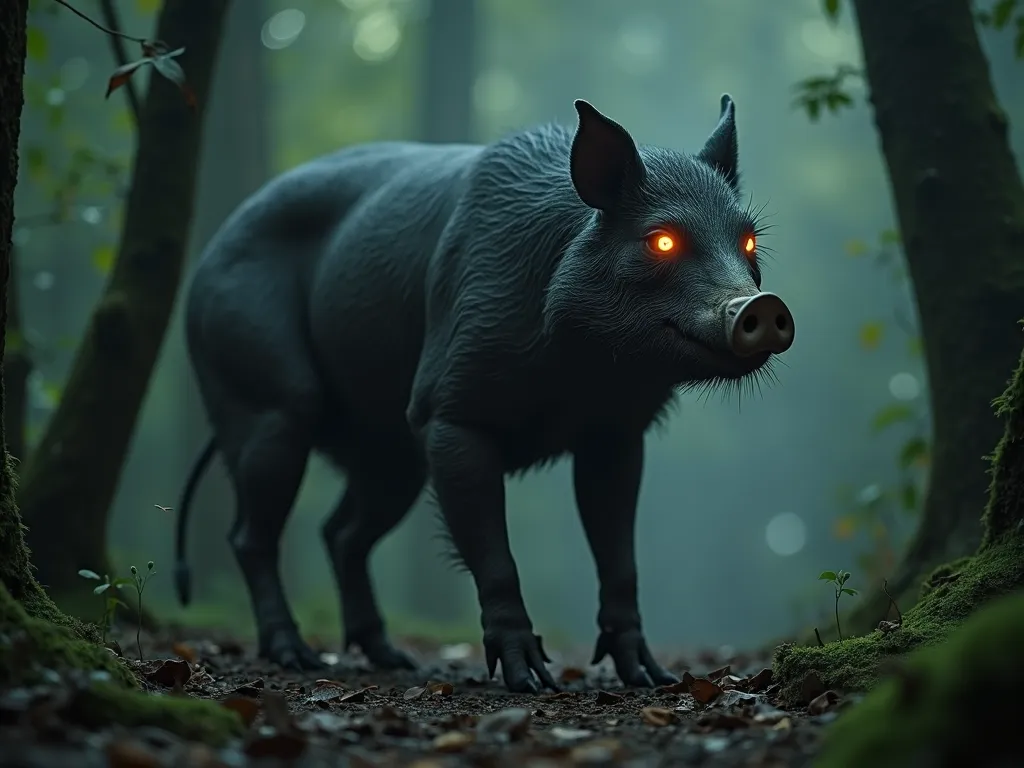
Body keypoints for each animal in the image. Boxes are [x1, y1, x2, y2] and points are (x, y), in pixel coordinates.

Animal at [173, 94, 794, 693]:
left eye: (747, 239)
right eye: (662, 239)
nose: (762, 305)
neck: (581, 373)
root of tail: (201, 265)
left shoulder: (616, 433)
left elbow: (620, 557)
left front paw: (648, 678)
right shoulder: (449, 410)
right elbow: (495, 555)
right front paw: (533, 682)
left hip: (390, 452)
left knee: (341, 533)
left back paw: (392, 659)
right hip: (262, 388)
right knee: (252, 533)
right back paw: (296, 656)